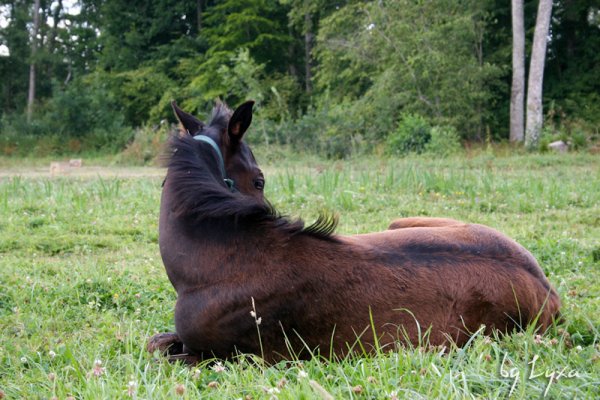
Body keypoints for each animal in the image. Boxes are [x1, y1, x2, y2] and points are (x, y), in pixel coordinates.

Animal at [148, 99, 560, 362]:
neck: (215, 259)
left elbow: (162, 350)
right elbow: (157, 340)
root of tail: (549, 292)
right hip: (403, 222)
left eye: (259, 179)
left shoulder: (240, 356)